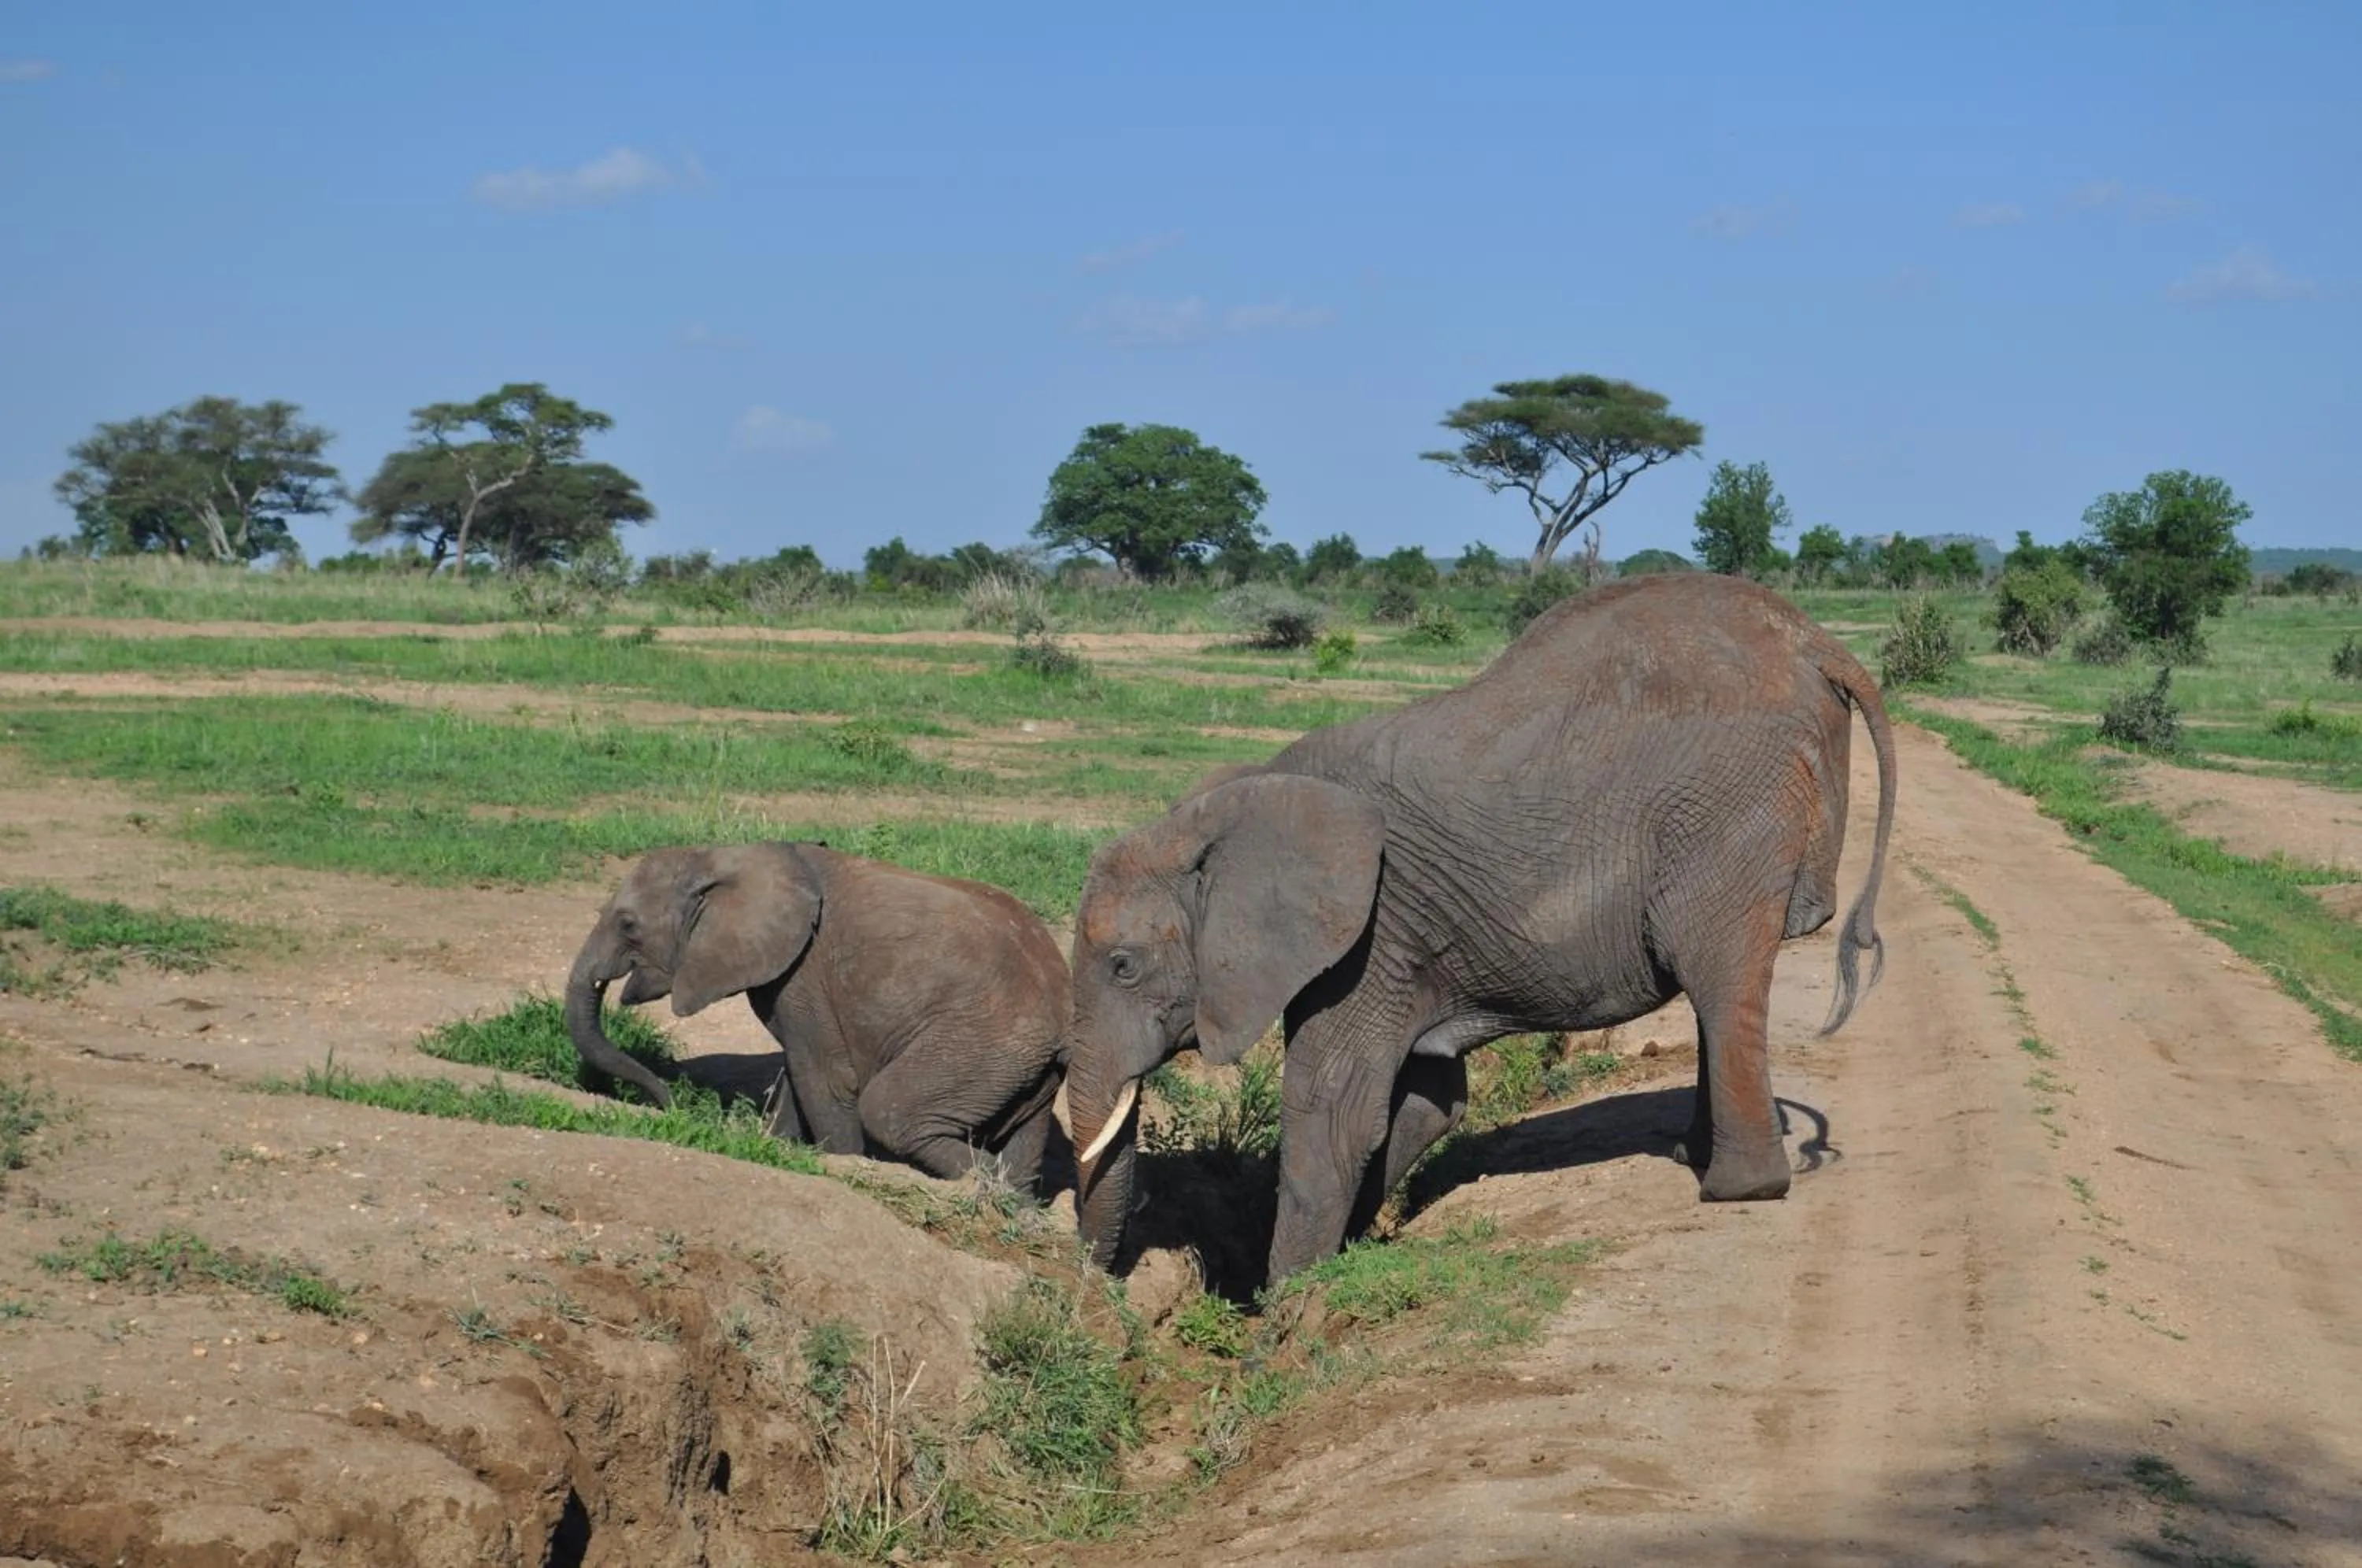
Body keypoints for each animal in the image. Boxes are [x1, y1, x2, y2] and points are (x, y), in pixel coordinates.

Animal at [565, 841, 1071, 1192]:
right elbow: (796, 1072)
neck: (725, 857)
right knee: (1023, 1142)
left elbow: (825, 1079)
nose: (670, 1103)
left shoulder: (805, 974)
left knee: (889, 1111)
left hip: (983, 1042)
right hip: (1024, 1070)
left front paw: (842, 1163)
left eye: (628, 925)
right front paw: (777, 1146)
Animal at [1064, 572, 1898, 1283]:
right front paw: (1355, 1248)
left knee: (1718, 976)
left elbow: (1333, 1114)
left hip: (1722, 812)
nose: (1104, 1285)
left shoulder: (1372, 931)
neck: (1216, 813)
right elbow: (1429, 1100)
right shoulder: (1403, 943)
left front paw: (1286, 1309)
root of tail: (1812, 640)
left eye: (1124, 966)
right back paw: (1692, 1151)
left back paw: (1736, 1189)